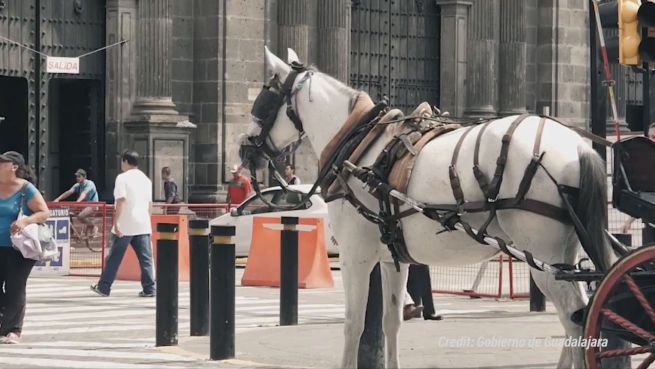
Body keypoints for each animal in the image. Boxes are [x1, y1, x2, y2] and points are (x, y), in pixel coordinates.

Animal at [241, 47, 616, 366]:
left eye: (264, 98)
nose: (245, 149)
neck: (359, 145)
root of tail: (577, 147)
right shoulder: (392, 258)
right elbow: (390, 321)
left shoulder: (355, 256)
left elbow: (354, 325)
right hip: (563, 253)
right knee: (581, 316)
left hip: (542, 254)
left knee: (576, 319)